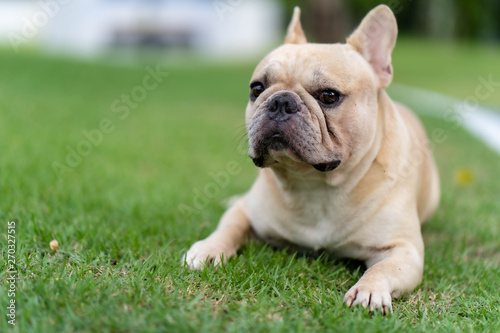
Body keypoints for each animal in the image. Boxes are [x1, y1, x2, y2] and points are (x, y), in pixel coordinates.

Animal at [183, 3, 438, 312]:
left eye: (329, 96)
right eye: (257, 88)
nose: (281, 101)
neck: (314, 184)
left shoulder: (403, 249)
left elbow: (383, 269)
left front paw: (369, 290)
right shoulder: (247, 212)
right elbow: (229, 226)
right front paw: (208, 248)